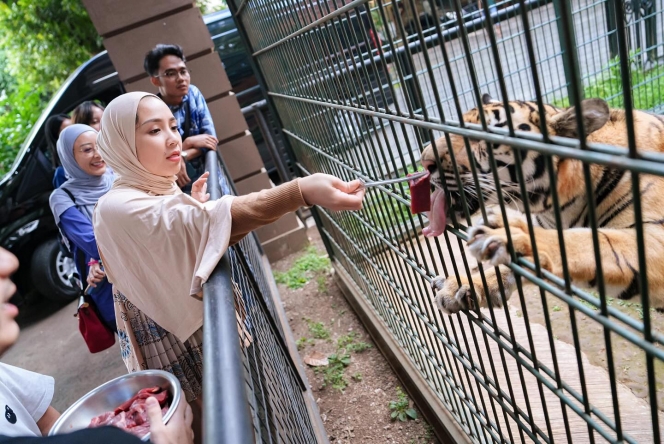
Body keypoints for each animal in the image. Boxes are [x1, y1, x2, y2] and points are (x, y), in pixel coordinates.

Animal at [422, 93, 664, 314]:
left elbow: (584, 241)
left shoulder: (654, 238)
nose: (424, 161)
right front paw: (462, 285)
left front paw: (511, 234)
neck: (560, 207)